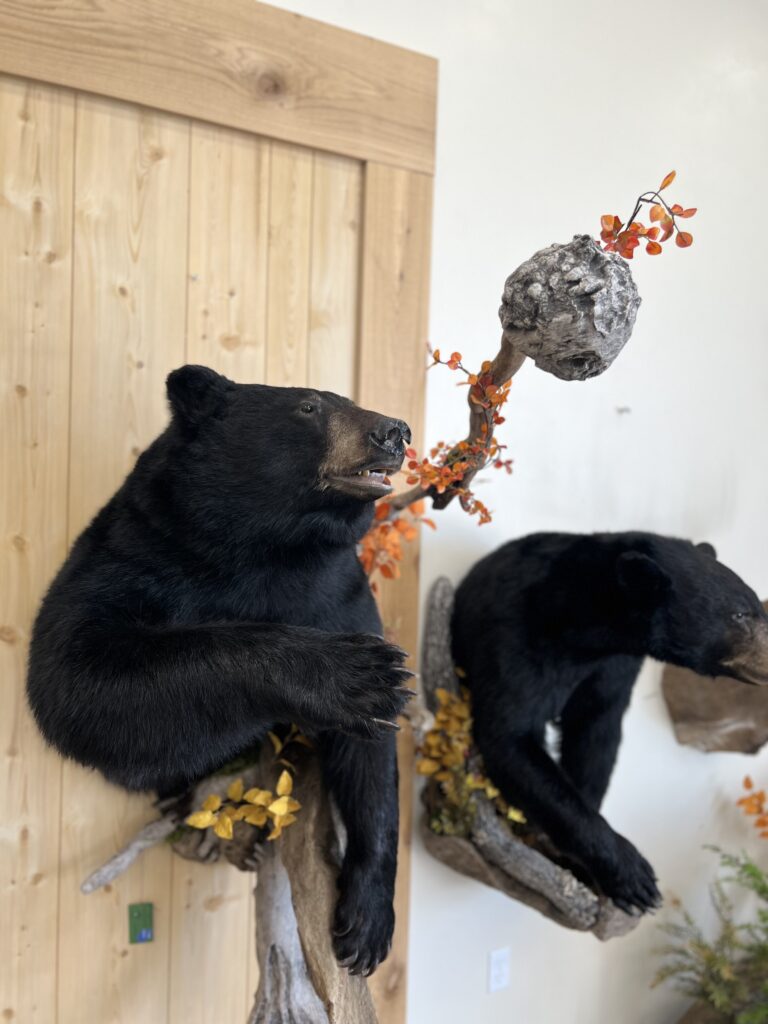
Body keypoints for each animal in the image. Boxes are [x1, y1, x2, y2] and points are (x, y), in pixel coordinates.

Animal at [27, 365, 415, 976]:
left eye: (346, 399)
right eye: (309, 406)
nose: (394, 431)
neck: (271, 546)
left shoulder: (339, 591)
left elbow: (371, 756)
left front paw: (366, 924)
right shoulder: (139, 554)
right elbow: (80, 677)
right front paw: (352, 673)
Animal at [450, 532, 768, 915]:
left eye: (757, 609)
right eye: (740, 614)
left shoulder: (615, 666)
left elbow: (595, 734)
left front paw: (580, 863)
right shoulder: (513, 637)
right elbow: (509, 735)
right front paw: (635, 878)